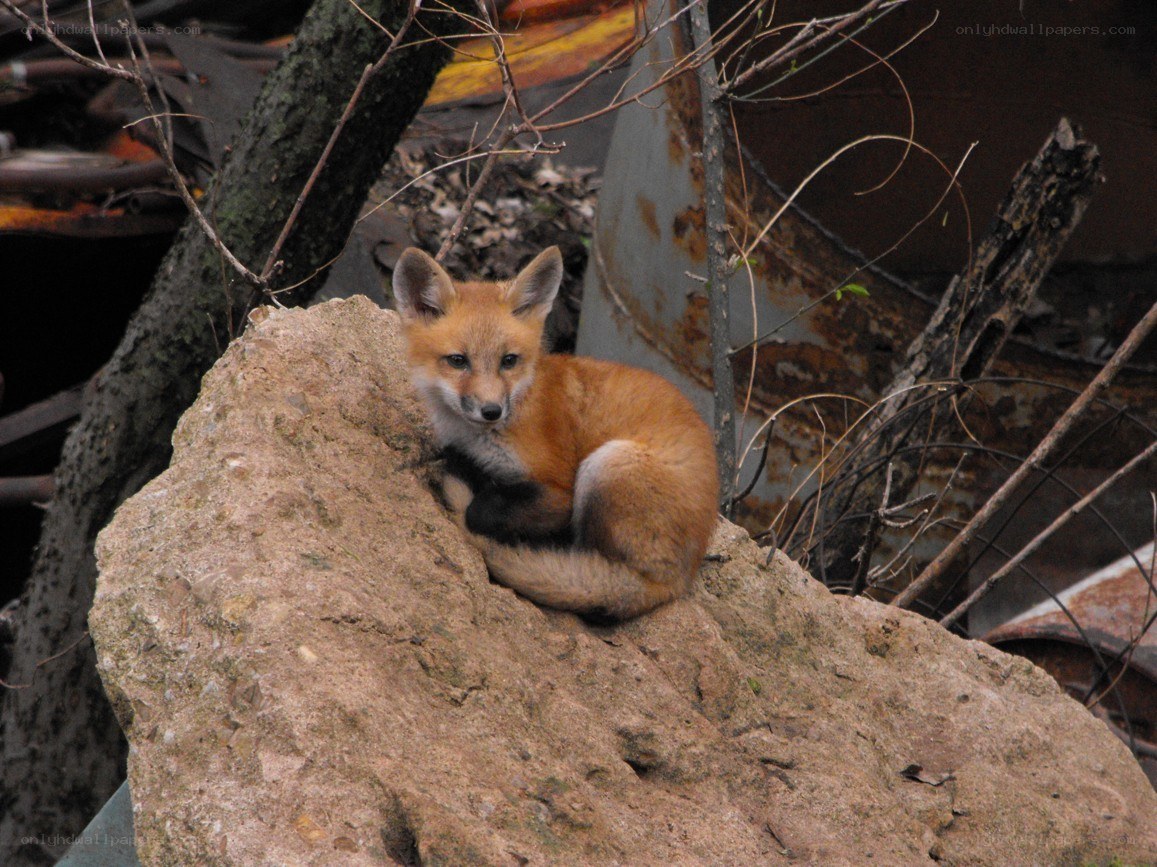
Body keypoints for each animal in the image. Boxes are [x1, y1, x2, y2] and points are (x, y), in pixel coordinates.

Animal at [392, 245, 719, 620]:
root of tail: (677, 583)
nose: (492, 410)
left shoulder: (558, 489)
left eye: (509, 360)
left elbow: (479, 511)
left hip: (608, 463)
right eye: (458, 360)